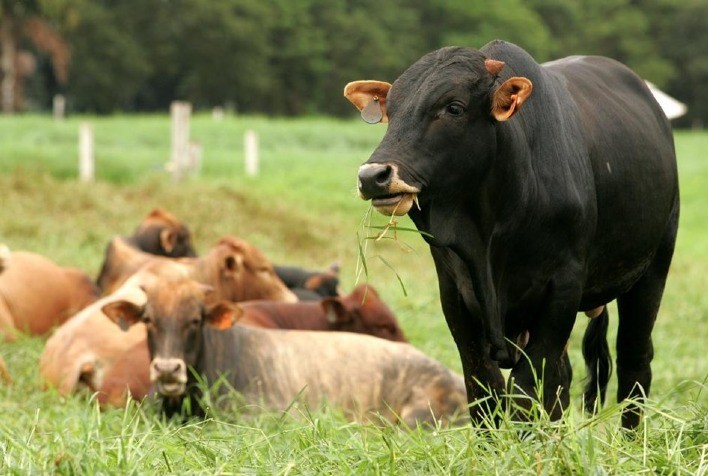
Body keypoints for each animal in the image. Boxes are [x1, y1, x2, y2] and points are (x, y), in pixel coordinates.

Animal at [344, 40, 679, 429]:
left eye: (453, 107)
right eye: (391, 111)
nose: (373, 176)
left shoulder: (562, 290)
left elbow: (524, 392)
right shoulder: (455, 296)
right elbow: (485, 391)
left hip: (652, 270)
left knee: (634, 364)